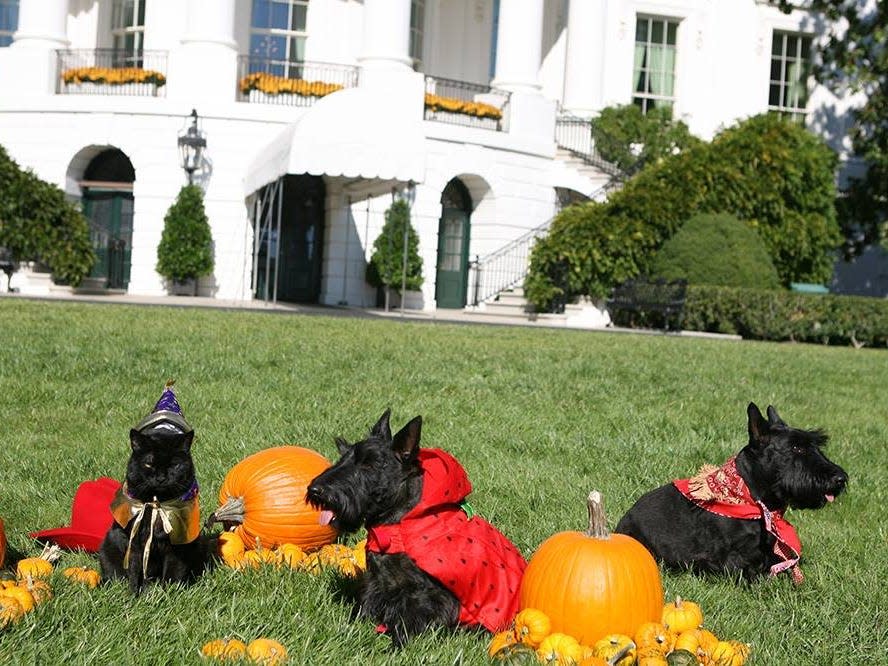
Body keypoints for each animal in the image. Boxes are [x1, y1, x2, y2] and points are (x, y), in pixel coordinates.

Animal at [97, 382, 208, 592]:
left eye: (174, 464)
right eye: (149, 464)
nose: (162, 478)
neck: (158, 504)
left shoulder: (177, 544)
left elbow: (173, 572)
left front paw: (169, 594)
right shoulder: (135, 542)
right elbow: (134, 572)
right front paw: (135, 595)